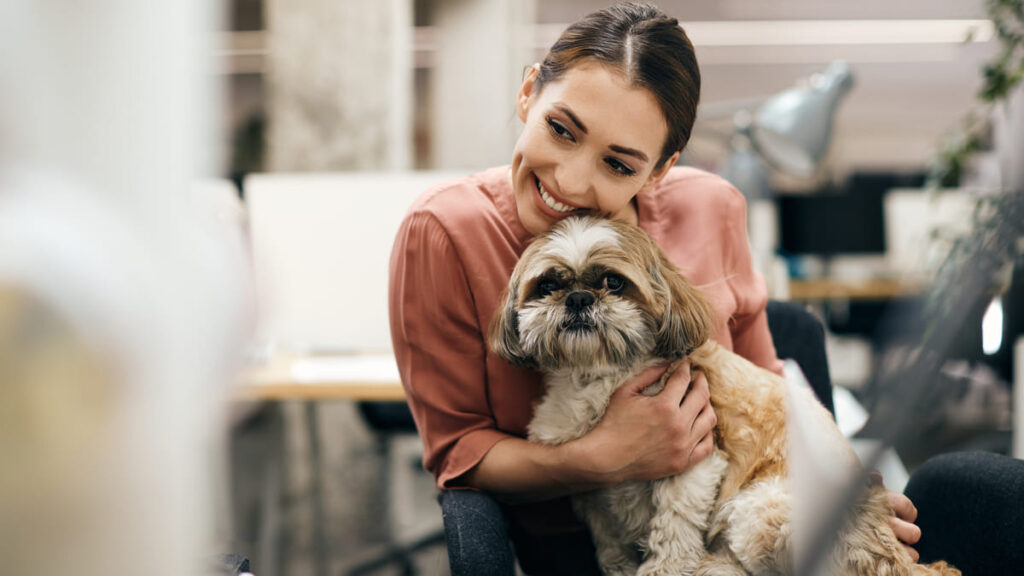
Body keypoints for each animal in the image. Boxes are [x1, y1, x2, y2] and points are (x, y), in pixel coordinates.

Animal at [489, 215, 958, 573]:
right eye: (548, 285)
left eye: (614, 282)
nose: (578, 298)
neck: (600, 377)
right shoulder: (589, 485)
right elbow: (608, 540)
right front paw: (619, 567)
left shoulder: (695, 460)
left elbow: (674, 527)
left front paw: (664, 569)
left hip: (761, 510)